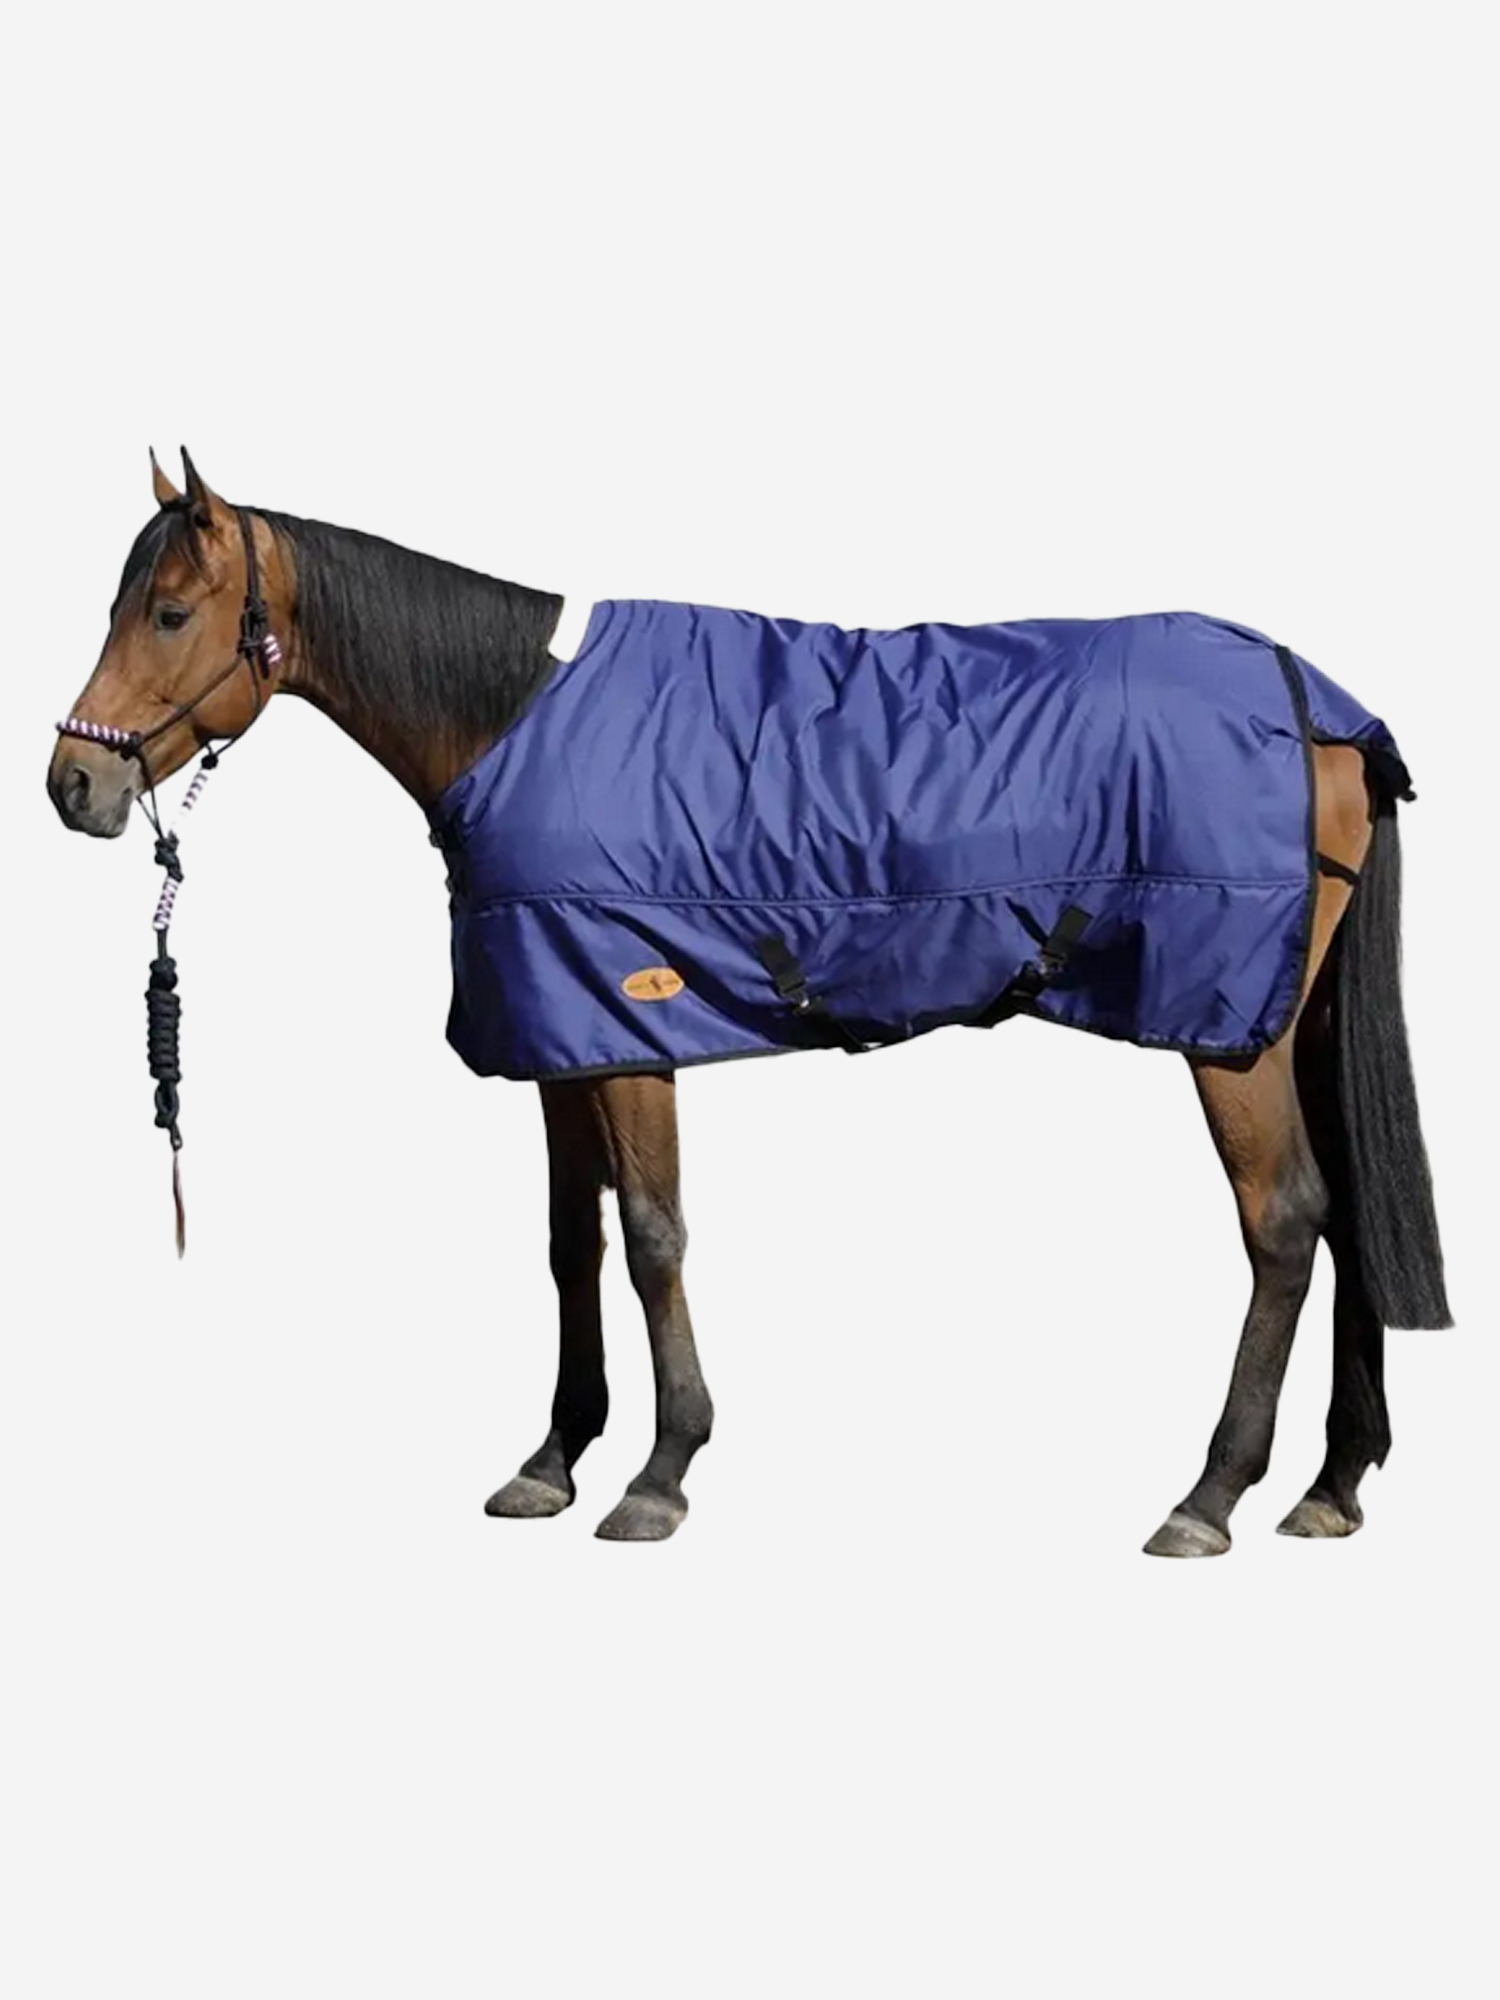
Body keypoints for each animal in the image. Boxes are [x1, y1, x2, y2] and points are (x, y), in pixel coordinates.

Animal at [47, 450, 1451, 1552]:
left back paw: (1211, 1493)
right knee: (1344, 1217)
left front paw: (660, 1473)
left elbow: (654, 1237)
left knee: (1285, 1222)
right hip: (1292, 1017)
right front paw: (553, 1458)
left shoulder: (630, 1025)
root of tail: (1322, 706)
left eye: (169, 611)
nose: (72, 784)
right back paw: (1329, 1485)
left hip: (1228, 1034)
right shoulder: (561, 1031)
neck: (513, 721)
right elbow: (570, 1244)